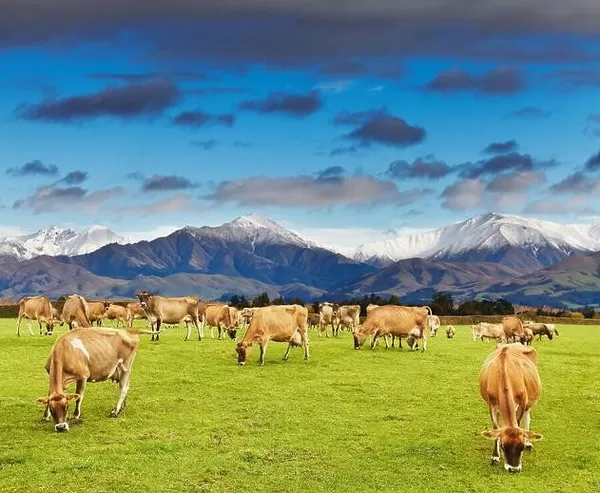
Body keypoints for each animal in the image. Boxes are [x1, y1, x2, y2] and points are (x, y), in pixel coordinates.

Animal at [478, 342, 544, 472]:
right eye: (503, 446)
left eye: (521, 447)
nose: (514, 469)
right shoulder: (491, 405)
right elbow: (496, 427)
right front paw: (495, 456)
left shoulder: (523, 403)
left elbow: (518, 423)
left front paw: (527, 442)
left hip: (530, 401)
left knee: (527, 417)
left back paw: (530, 442)